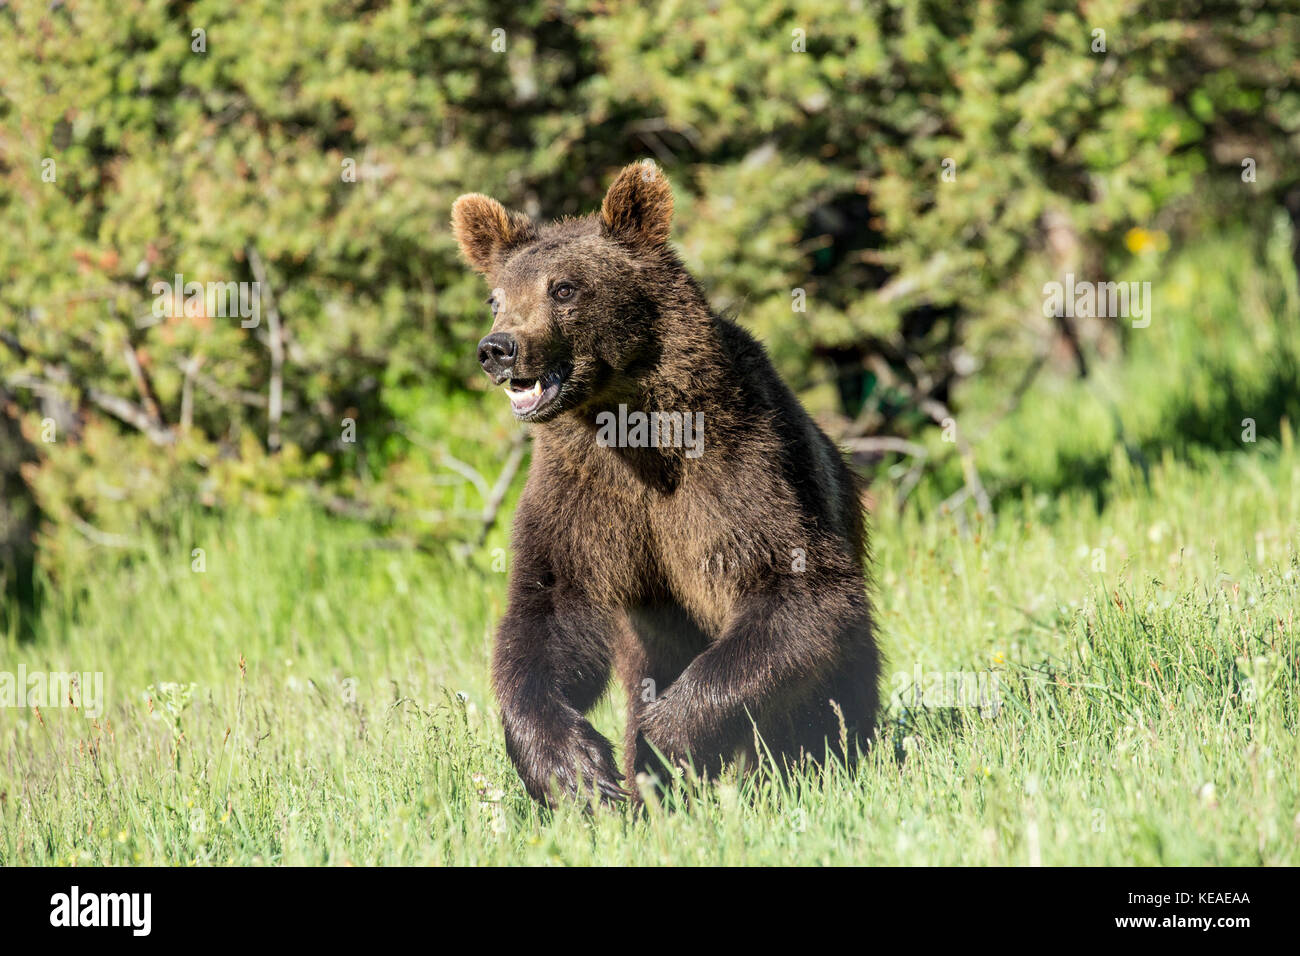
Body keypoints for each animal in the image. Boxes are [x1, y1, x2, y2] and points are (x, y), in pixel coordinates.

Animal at [452, 160, 878, 806]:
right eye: (495, 297)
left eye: (564, 288)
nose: (497, 348)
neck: (634, 433)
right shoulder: (581, 495)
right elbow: (547, 609)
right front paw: (578, 771)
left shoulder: (739, 472)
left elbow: (795, 591)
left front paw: (660, 752)